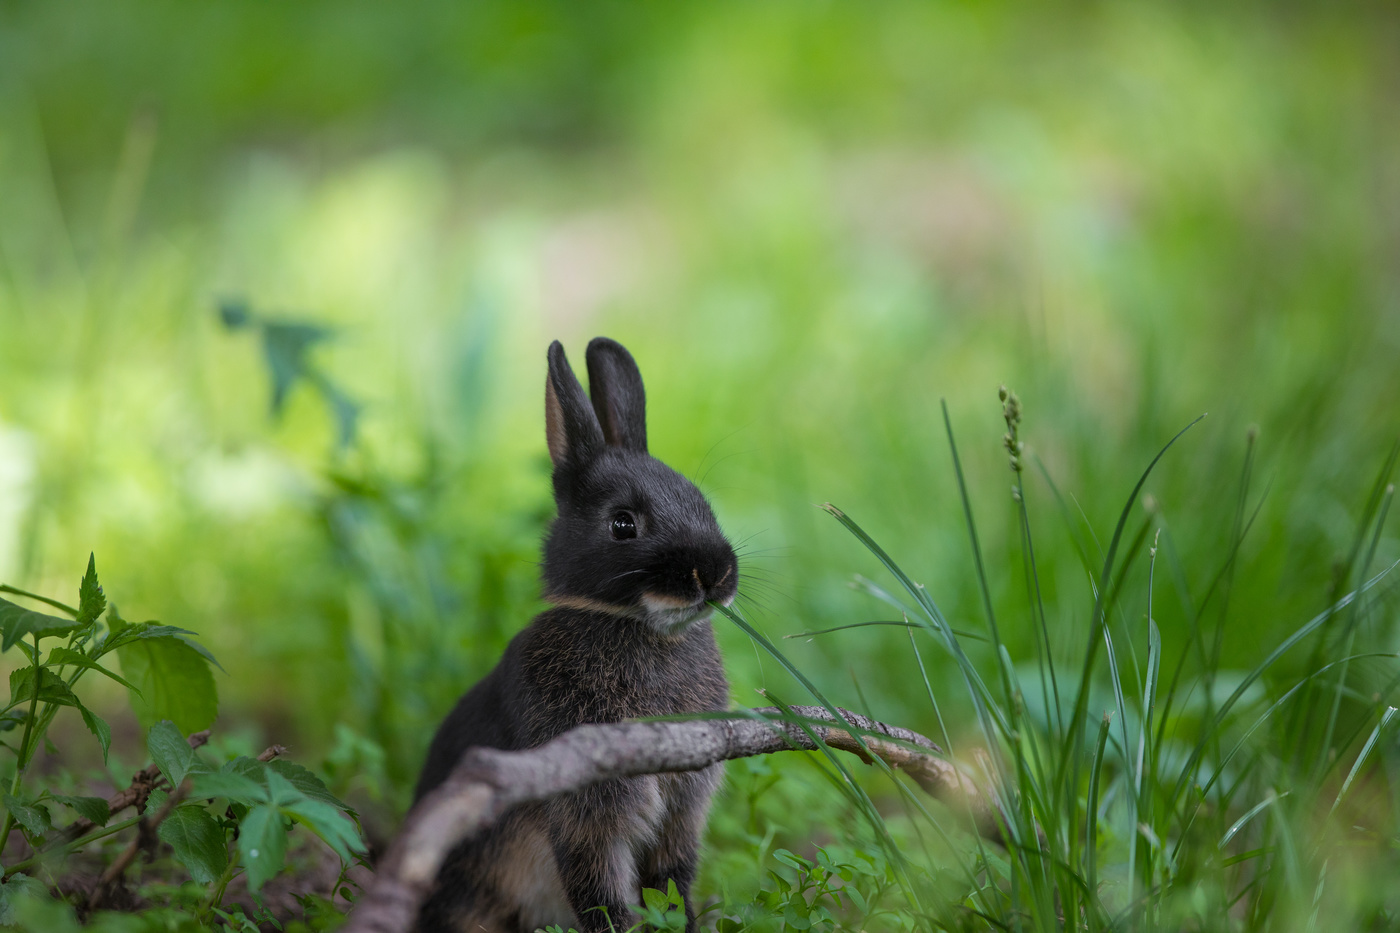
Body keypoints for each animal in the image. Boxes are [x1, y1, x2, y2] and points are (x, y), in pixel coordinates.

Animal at [411, 337, 733, 930]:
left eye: (702, 503)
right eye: (623, 523)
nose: (716, 573)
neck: (632, 625)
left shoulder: (681, 813)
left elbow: (671, 883)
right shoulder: (586, 813)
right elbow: (600, 893)